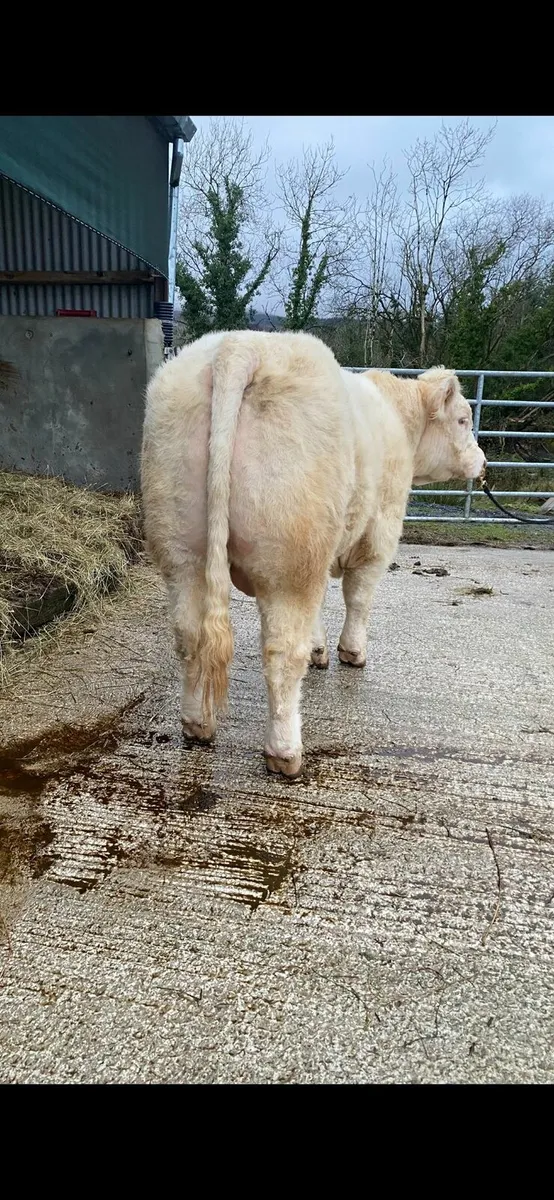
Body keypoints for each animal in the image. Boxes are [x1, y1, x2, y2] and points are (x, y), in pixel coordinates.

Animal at [141, 330, 485, 780]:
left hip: (182, 549)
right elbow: (359, 598)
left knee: (189, 634)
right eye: (462, 419)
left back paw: (197, 724)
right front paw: (351, 652)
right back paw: (285, 752)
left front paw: (323, 650)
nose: (483, 462)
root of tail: (241, 345)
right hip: (290, 560)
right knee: (283, 652)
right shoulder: (379, 535)